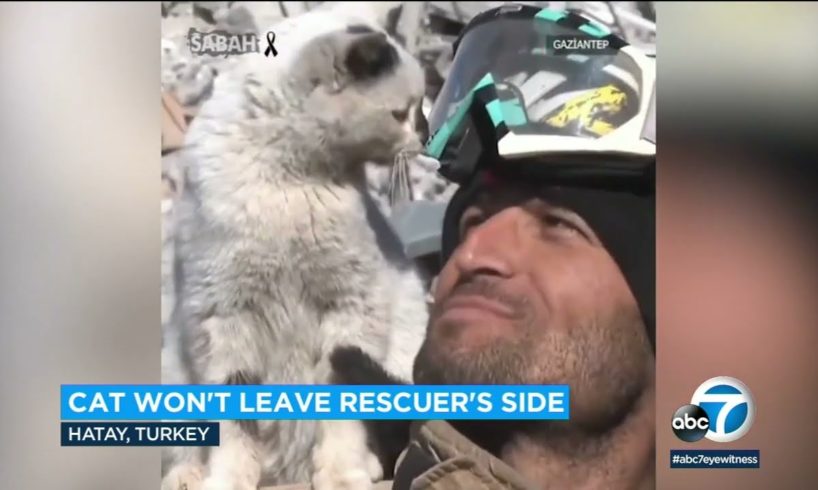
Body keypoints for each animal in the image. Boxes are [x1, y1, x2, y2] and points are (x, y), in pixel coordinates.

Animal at [159, 11, 428, 490]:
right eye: (402, 113)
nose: (427, 135)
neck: (291, 184)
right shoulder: (223, 318)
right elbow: (234, 424)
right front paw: (228, 477)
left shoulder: (353, 308)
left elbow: (343, 415)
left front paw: (342, 474)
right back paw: (188, 474)